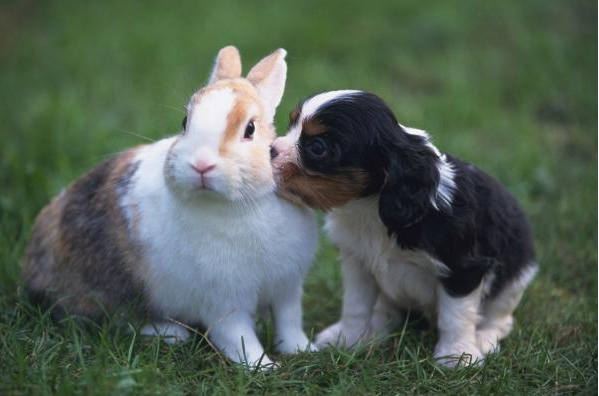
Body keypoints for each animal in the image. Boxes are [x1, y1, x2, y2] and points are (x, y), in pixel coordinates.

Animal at [22, 46, 318, 368]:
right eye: (184, 122)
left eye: (250, 129)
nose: (201, 165)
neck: (243, 203)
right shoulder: (222, 301)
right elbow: (238, 337)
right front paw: (262, 366)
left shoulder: (287, 287)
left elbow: (289, 323)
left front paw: (304, 349)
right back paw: (171, 333)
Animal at [272, 90, 540, 368]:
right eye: (291, 124)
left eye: (317, 147)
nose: (270, 150)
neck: (369, 208)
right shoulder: (357, 261)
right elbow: (356, 306)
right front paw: (347, 338)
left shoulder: (463, 268)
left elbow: (455, 316)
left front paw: (457, 355)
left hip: (517, 276)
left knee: (501, 317)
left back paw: (485, 337)